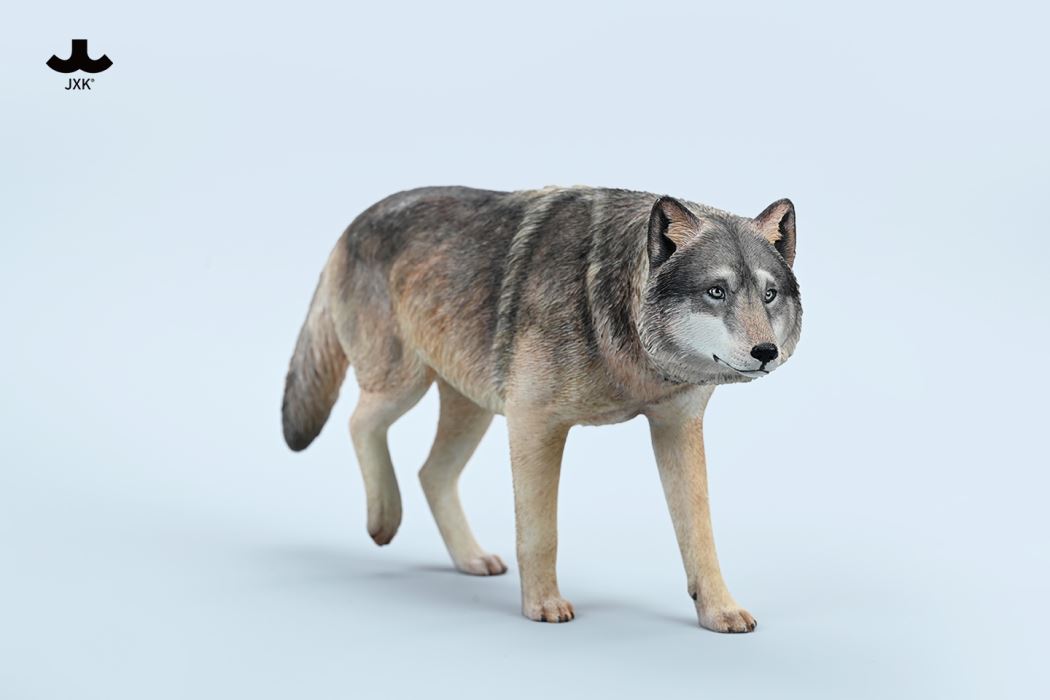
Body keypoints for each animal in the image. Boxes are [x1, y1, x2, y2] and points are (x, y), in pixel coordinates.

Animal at [281, 186, 801, 632]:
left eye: (769, 294)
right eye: (717, 292)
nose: (766, 352)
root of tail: (355, 221)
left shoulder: (677, 427)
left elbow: (700, 534)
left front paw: (719, 611)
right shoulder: (535, 424)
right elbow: (540, 532)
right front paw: (543, 605)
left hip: (473, 409)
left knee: (431, 473)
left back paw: (470, 558)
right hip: (404, 386)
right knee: (358, 423)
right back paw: (383, 519)